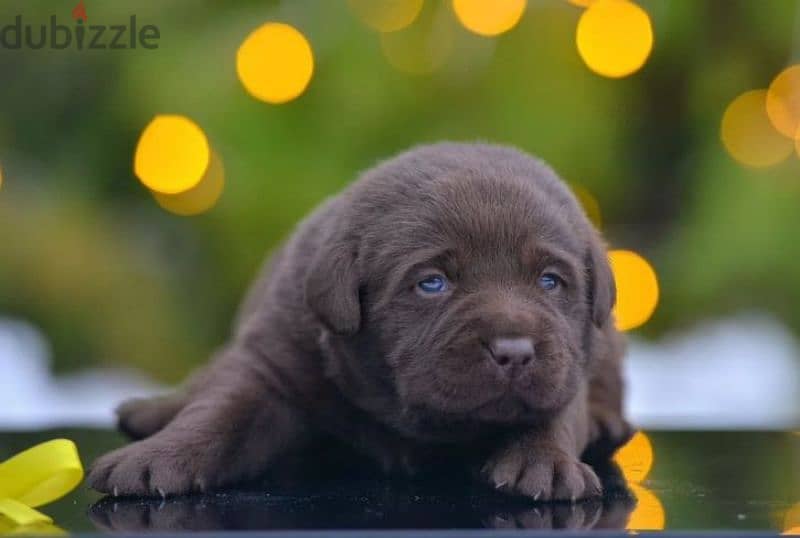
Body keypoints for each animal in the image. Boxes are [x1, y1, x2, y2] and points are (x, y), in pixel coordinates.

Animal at [90, 141, 636, 498]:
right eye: (432, 283)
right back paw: (151, 411)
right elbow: (217, 411)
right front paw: (153, 459)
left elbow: (555, 414)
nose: (515, 352)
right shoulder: (273, 363)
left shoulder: (568, 364)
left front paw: (547, 462)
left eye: (550, 281)